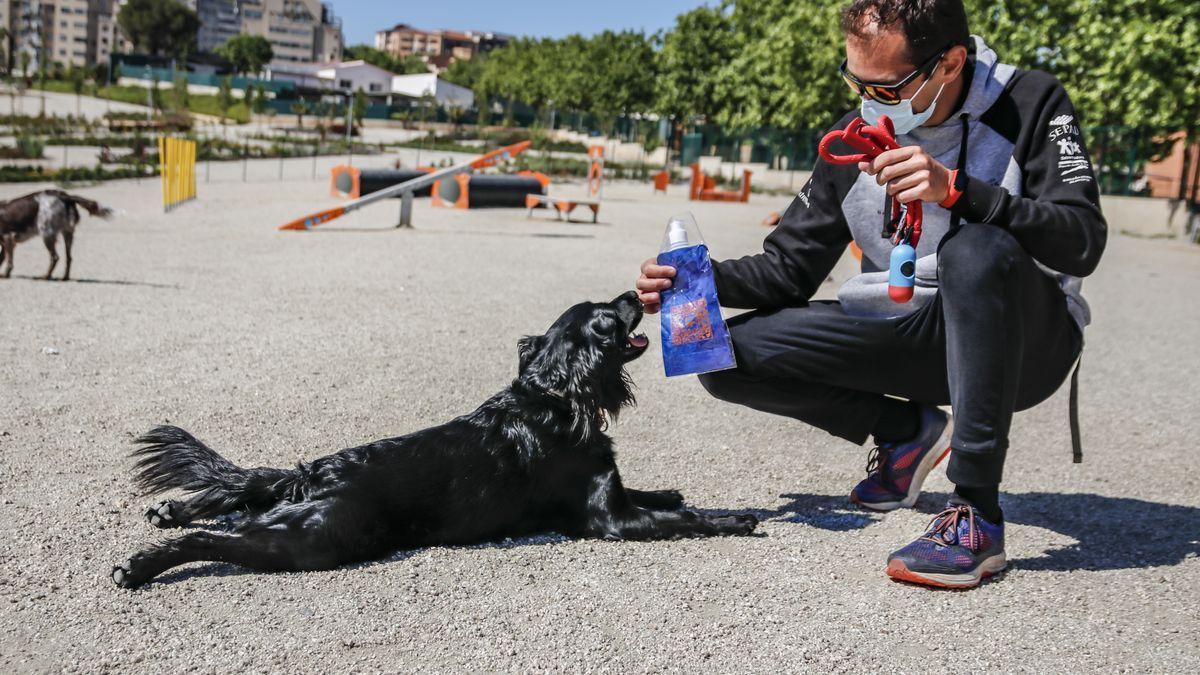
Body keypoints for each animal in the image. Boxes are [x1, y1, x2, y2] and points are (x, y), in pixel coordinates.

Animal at [108, 291, 753, 586]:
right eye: (607, 316)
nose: (635, 294)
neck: (552, 396)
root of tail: (316, 474)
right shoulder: (609, 518)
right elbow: (685, 519)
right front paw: (734, 519)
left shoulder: (614, 495)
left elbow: (657, 496)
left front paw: (672, 491)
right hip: (312, 539)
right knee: (215, 537)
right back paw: (140, 565)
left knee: (236, 500)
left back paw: (167, 512)